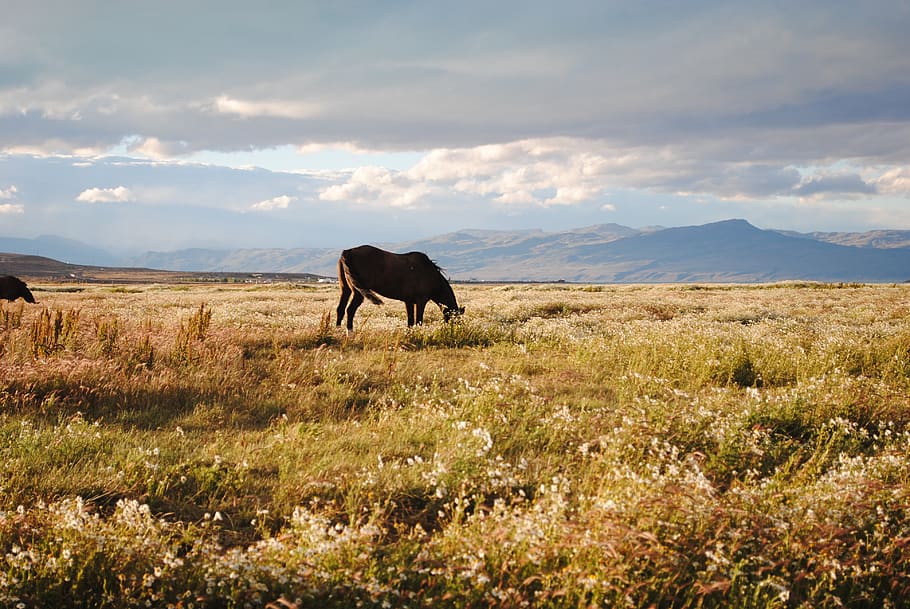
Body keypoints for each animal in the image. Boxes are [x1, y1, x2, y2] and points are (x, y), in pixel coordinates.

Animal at [334, 245, 464, 330]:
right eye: (455, 318)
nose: (454, 331)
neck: (430, 274)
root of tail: (348, 252)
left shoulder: (409, 302)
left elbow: (410, 322)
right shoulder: (421, 301)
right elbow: (419, 321)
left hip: (345, 290)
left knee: (340, 309)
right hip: (358, 293)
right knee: (350, 310)